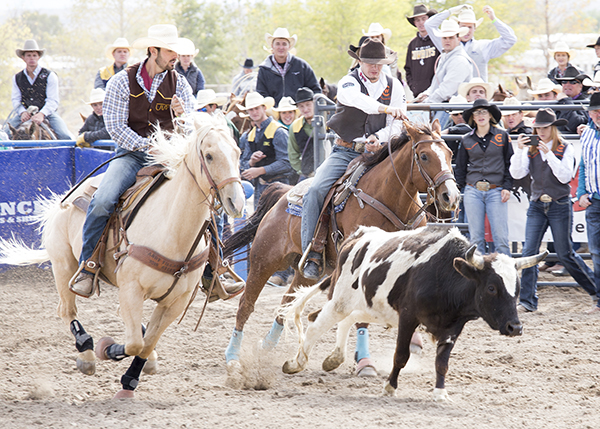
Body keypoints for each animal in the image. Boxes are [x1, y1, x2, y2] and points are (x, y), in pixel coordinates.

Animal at [0, 111, 245, 398]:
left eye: (238, 152)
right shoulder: (131, 289)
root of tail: (63, 200)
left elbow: (147, 342)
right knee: (67, 310)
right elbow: (135, 343)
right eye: (209, 155)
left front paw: (131, 379)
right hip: (63, 265)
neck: (173, 230)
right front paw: (106, 349)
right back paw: (86, 354)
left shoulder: (176, 302)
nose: (237, 203)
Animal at [223, 118, 462, 372]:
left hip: (309, 271)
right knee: (246, 305)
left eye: (449, 153)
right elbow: (359, 318)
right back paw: (233, 356)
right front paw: (363, 361)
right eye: (424, 156)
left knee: (287, 301)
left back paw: (268, 345)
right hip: (264, 260)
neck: (389, 199)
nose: (451, 196)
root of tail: (284, 194)